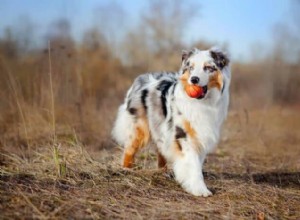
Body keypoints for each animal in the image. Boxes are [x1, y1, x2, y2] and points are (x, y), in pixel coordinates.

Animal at [111, 46, 231, 196]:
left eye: (208, 67)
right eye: (191, 67)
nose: (194, 79)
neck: (202, 103)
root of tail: (141, 78)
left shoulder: (200, 135)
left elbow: (197, 162)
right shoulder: (184, 135)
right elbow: (193, 164)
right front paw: (199, 189)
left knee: (160, 149)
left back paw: (162, 171)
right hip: (140, 127)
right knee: (129, 149)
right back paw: (126, 169)